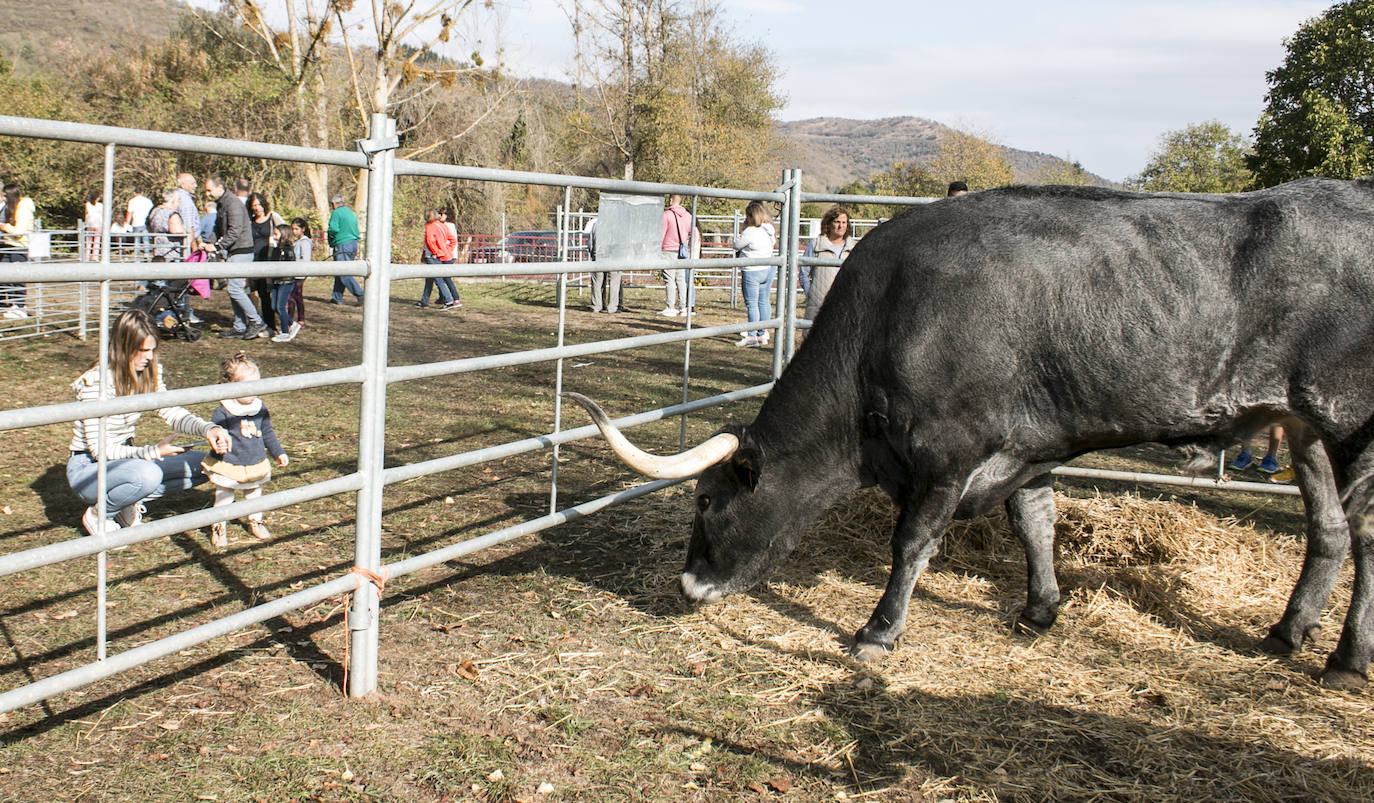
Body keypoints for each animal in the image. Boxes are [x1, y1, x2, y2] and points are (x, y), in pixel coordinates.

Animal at [566, 178, 1374, 687]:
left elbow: (912, 542)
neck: (888, 317)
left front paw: (877, 632)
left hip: (1352, 421)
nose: (687, 584)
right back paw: (1287, 631)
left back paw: (1345, 658)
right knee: (1330, 530)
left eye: (705, 502)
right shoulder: (1028, 446)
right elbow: (1036, 521)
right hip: (1301, 425)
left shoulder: (946, 452)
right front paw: (1041, 608)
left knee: (1364, 534)